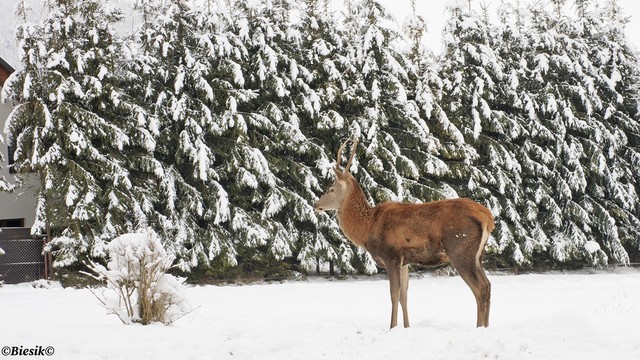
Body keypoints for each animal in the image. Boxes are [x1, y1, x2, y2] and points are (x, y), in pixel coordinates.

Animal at [316, 140, 496, 330]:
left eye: (331, 189)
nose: (316, 204)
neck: (367, 227)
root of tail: (488, 218)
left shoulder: (391, 254)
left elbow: (393, 293)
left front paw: (392, 327)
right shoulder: (405, 260)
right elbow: (404, 294)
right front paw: (407, 327)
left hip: (459, 249)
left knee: (480, 288)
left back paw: (479, 328)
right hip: (478, 254)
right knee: (488, 285)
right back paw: (486, 327)